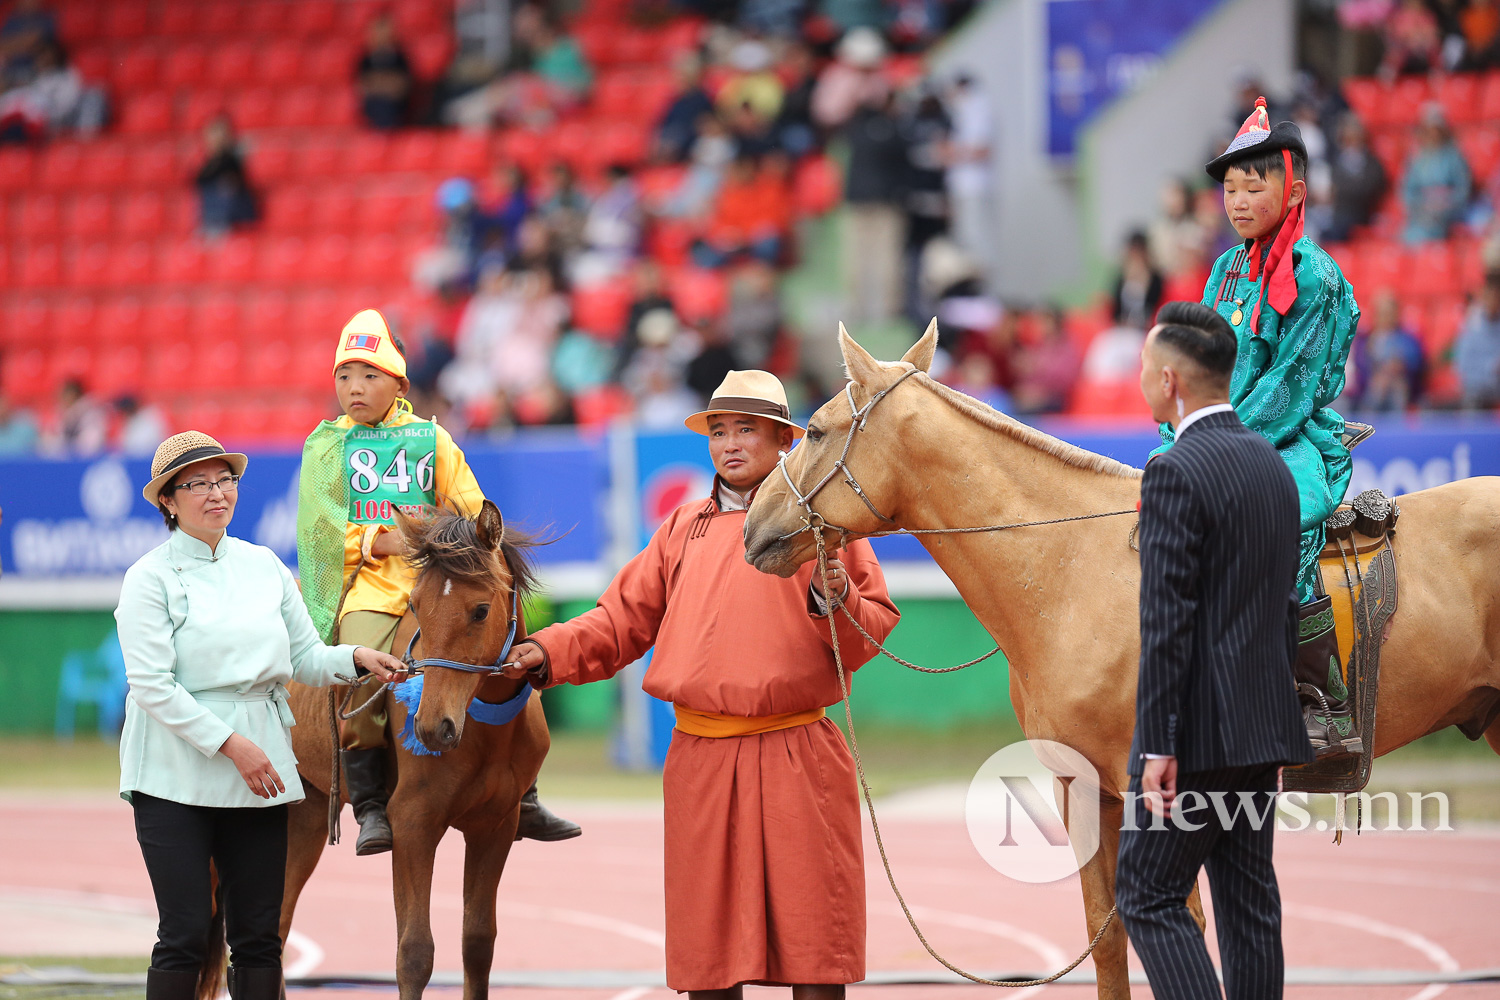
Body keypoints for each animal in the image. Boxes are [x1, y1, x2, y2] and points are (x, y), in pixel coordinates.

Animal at [279, 500, 549, 1000]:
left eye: (480, 610)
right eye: (417, 606)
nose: (431, 728)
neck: (485, 728)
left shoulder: (495, 826)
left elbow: (477, 942)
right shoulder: (413, 824)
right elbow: (415, 951)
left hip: (305, 815)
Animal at [738, 325, 1500, 995]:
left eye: (814, 429)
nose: (752, 524)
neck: (1072, 568)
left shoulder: (1168, 797)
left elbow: (1180, 927)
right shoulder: (1085, 789)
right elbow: (1107, 941)